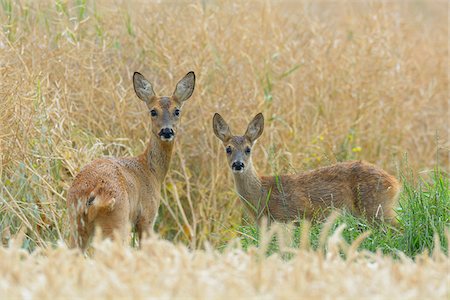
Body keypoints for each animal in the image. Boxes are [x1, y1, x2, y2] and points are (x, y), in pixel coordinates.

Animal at [67, 70, 195, 248]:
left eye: (177, 111)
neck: (152, 171)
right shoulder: (147, 215)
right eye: (153, 111)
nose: (167, 131)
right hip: (117, 220)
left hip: (76, 223)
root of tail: (93, 194)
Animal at [213, 112, 400, 225]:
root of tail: (395, 183)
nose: (238, 164)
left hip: (377, 207)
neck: (262, 194)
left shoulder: (290, 217)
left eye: (248, 149)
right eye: (228, 149)